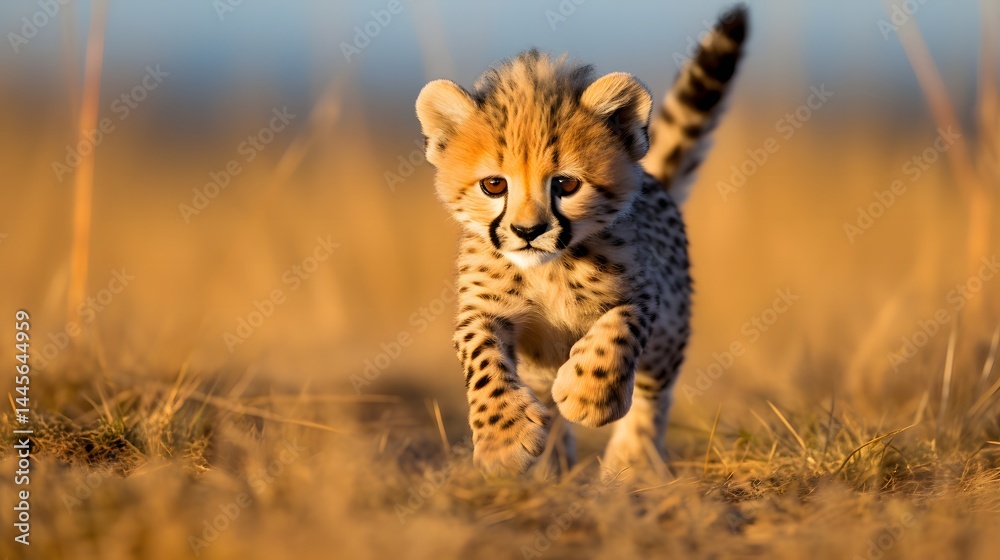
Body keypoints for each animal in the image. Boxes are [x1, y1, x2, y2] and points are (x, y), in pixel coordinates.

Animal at [415, 5, 748, 477]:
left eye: (566, 184)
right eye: (494, 185)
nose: (528, 231)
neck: (548, 268)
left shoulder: (644, 295)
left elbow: (618, 330)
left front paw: (589, 396)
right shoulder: (483, 311)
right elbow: (482, 360)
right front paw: (504, 438)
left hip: (670, 335)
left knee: (654, 394)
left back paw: (633, 463)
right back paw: (551, 466)